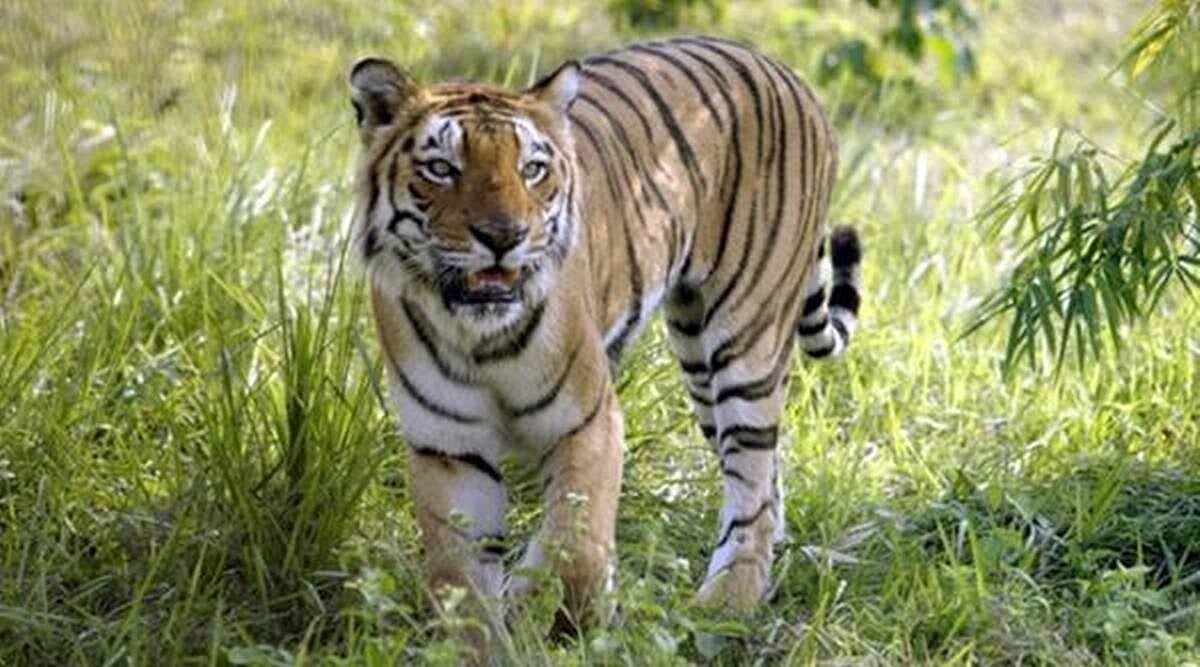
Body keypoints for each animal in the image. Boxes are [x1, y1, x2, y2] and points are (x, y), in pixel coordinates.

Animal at [348, 35, 863, 642]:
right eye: (441, 168)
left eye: (532, 169)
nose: (504, 237)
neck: (480, 337)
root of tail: (787, 71)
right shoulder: (450, 446)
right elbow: (460, 577)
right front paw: (481, 641)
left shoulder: (587, 421)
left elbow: (575, 542)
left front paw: (555, 613)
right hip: (696, 351)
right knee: (766, 481)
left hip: (746, 338)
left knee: (752, 484)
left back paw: (728, 600)